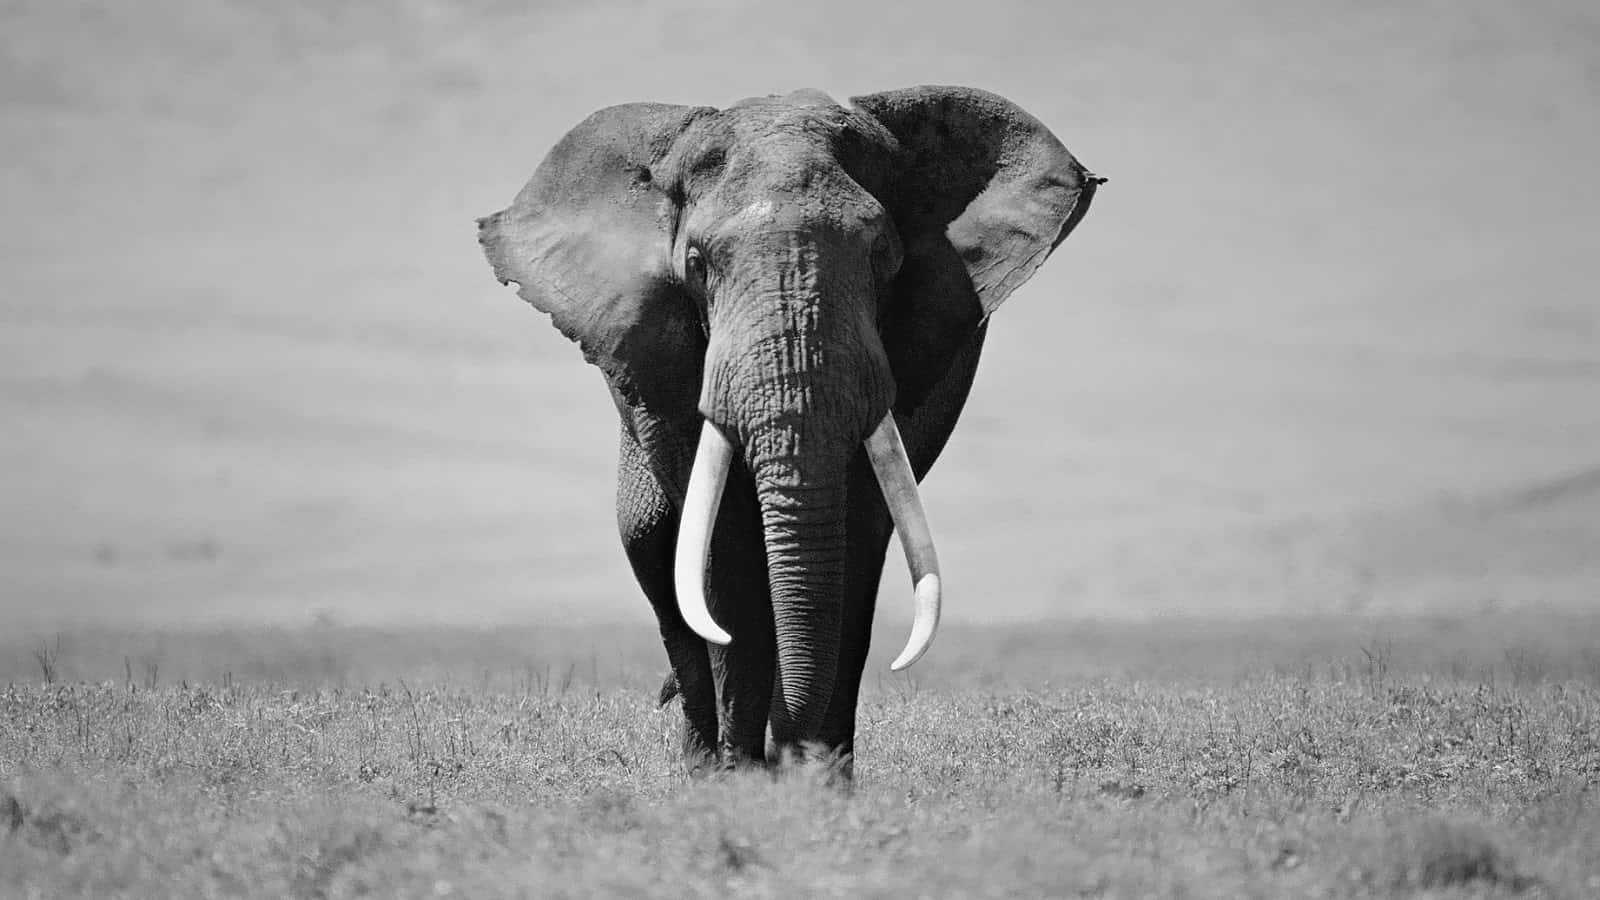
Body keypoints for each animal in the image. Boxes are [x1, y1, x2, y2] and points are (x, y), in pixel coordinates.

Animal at [473, 82, 1100, 771]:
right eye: (697, 262)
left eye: (884, 257)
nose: (782, 756)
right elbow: (724, 544)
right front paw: (741, 778)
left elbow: (858, 531)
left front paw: (816, 778)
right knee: (653, 550)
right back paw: (702, 765)